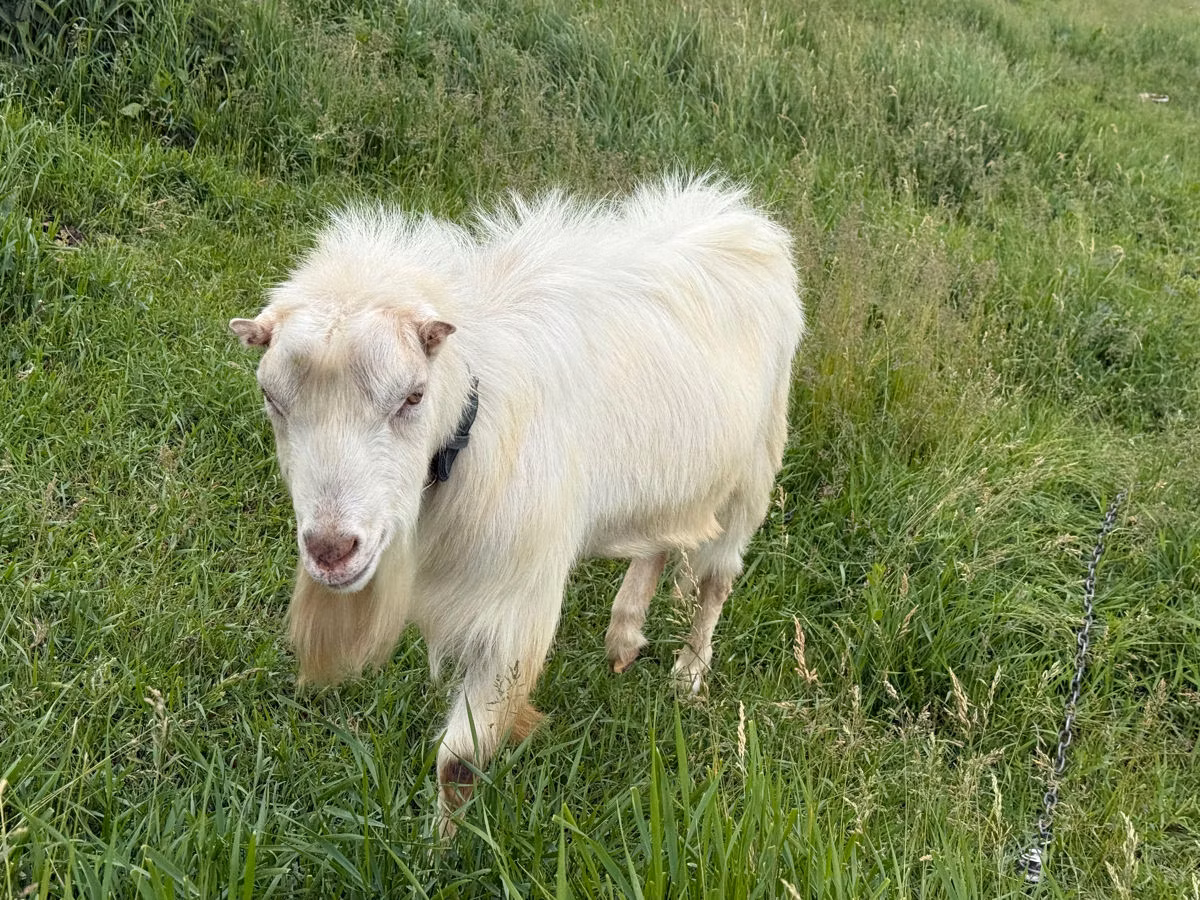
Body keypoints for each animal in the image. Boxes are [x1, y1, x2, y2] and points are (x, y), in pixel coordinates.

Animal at [229, 175, 805, 835]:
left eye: (413, 396)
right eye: (271, 397)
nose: (331, 549)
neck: (472, 419)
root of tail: (743, 218)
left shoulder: (512, 609)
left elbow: (458, 762)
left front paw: (439, 847)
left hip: (754, 469)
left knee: (716, 579)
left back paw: (689, 672)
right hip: (671, 475)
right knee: (658, 543)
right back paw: (624, 636)